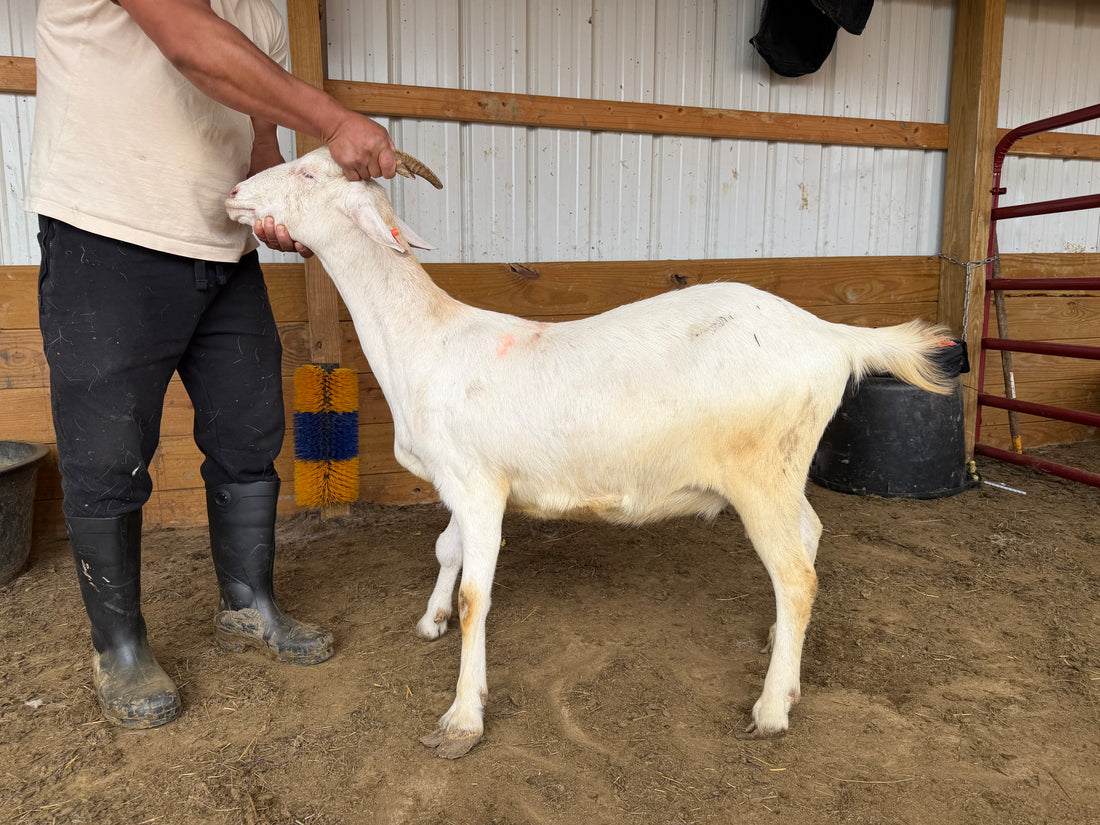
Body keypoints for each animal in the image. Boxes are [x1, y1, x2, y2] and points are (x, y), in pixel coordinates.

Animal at [226, 147, 955, 758]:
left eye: (308, 173)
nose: (233, 192)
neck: (429, 341)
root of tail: (832, 337)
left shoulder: (479, 484)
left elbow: (477, 595)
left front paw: (461, 718)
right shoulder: (462, 482)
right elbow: (446, 550)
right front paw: (431, 619)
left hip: (761, 470)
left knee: (797, 575)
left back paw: (773, 706)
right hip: (783, 469)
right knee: (810, 533)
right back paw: (785, 654)